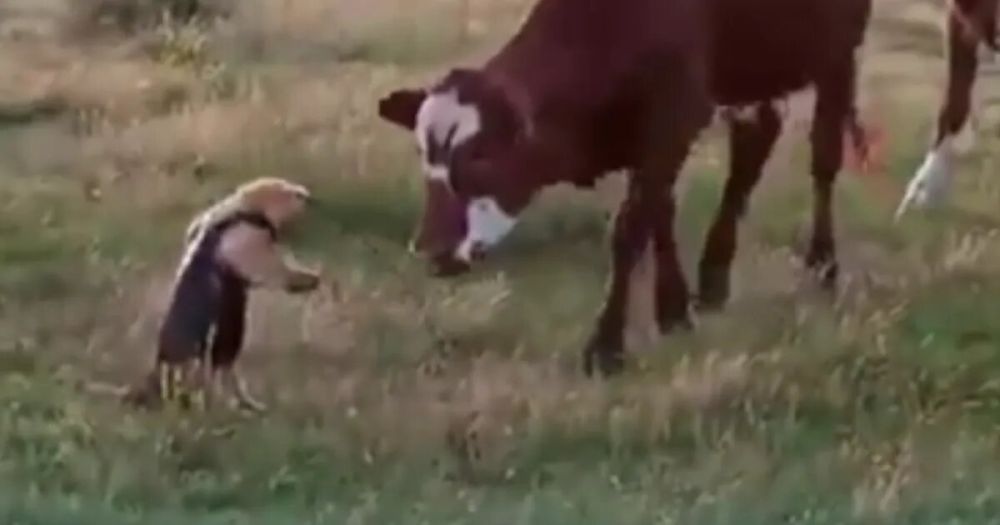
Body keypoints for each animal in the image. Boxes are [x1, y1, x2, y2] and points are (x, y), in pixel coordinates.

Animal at [378, 0, 872, 376]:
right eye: (423, 153)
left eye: (481, 156)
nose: (431, 249)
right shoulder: (655, 138)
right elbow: (660, 213)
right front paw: (673, 309)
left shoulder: (676, 116)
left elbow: (631, 230)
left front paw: (606, 346)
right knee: (754, 146)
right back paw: (714, 278)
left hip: (838, 50)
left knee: (824, 157)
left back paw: (823, 264)